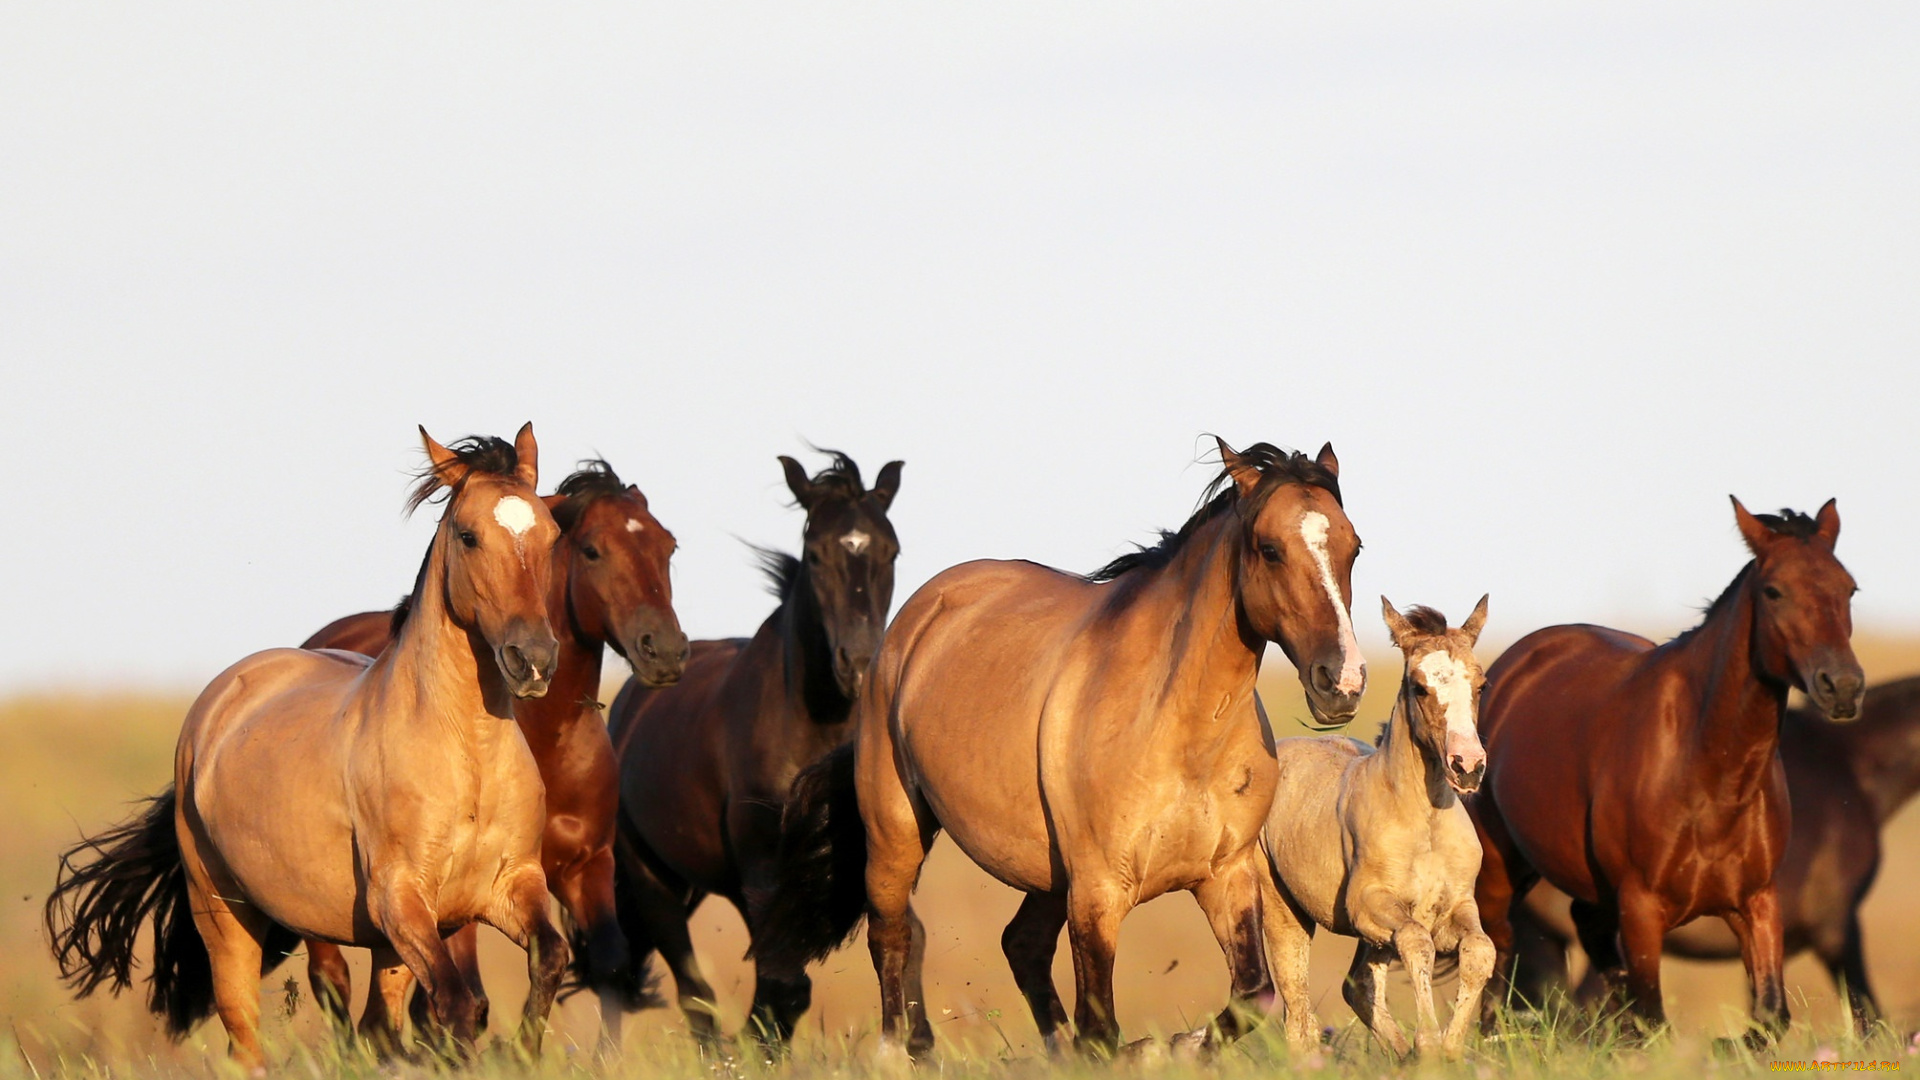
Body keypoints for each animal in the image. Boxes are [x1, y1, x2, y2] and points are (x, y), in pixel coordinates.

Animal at [43, 424, 568, 1060]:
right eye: (468, 536)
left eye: (551, 535)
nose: (532, 660)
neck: (467, 756)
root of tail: (218, 703)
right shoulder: (403, 901)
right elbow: (456, 1004)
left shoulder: (509, 886)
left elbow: (548, 960)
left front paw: (524, 1051)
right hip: (225, 915)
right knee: (246, 1035)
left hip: (384, 946)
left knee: (375, 1024)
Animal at [295, 455, 687, 1045]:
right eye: (592, 550)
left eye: (668, 546)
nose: (664, 650)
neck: (546, 736)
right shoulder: (456, 897)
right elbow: (467, 999)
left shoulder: (584, 866)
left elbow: (610, 966)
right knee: (332, 977)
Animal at [760, 434, 1367, 1053]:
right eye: (1270, 549)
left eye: (1354, 548)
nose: (1341, 681)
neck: (1182, 735)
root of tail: (908, 625)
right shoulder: (1098, 892)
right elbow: (1100, 1026)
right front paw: (1150, 1050)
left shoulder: (1226, 875)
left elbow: (1252, 996)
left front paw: (1168, 1046)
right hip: (897, 834)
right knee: (891, 935)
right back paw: (896, 1054)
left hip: (1048, 874)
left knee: (1021, 944)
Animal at [1259, 595, 1497, 1060]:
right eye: (1420, 687)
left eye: (1480, 686)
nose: (1468, 766)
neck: (1425, 824)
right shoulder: (1368, 902)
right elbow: (1417, 943)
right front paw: (1429, 1044)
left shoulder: (1458, 906)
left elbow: (1480, 950)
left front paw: (1449, 1048)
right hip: (1283, 910)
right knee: (1297, 1012)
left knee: (1359, 987)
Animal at [1466, 495, 1858, 1037]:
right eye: (1775, 591)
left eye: (1849, 588)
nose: (1842, 686)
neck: (1709, 777)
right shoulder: (1642, 909)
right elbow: (1654, 1017)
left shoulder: (1757, 901)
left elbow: (1769, 1016)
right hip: (1502, 869)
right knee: (1497, 954)